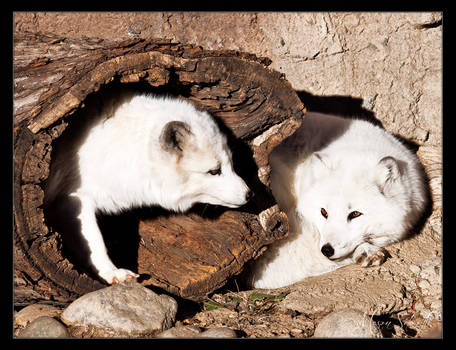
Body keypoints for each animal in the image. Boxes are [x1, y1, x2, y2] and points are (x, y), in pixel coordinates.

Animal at [45, 93, 253, 284]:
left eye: (231, 164)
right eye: (214, 171)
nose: (249, 194)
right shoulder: (74, 197)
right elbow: (94, 241)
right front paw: (112, 273)